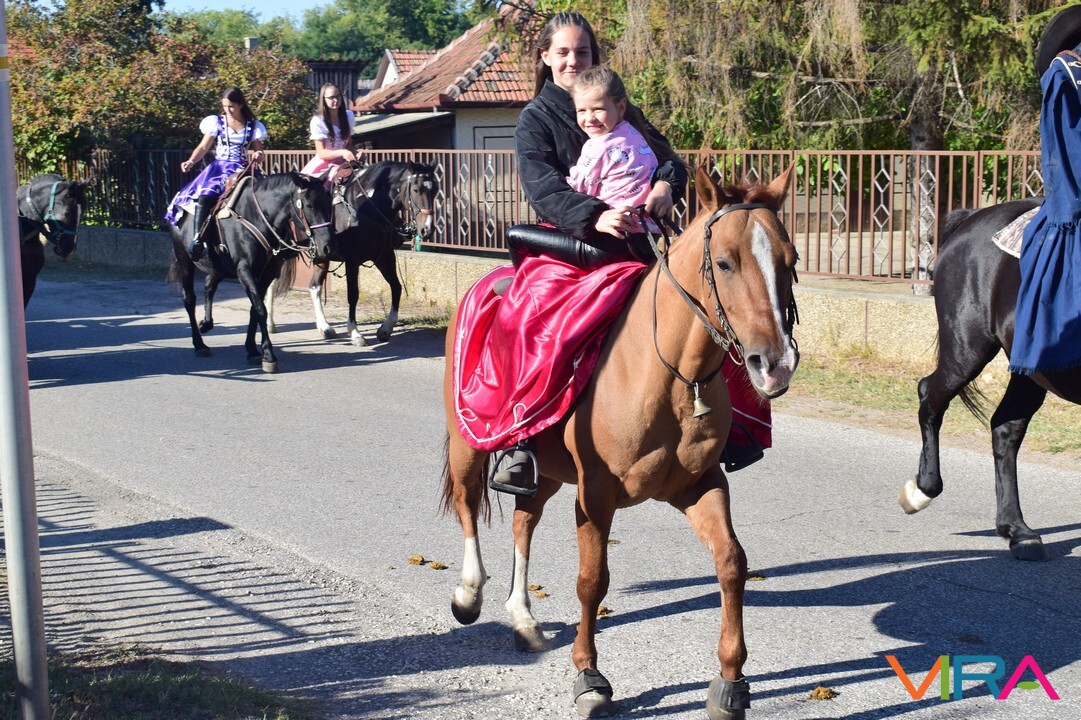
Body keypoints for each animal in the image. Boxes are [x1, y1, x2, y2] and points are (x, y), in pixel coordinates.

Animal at [166, 171, 334, 373]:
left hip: (218, 267)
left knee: (208, 286)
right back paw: (199, 344)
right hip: (185, 260)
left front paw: (252, 349)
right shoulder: (245, 270)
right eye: (309, 205)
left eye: (329, 203)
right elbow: (260, 309)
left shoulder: (268, 272)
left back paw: (206, 323)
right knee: (189, 299)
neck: (258, 217)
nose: (327, 247)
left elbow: (255, 309)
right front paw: (268, 355)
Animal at [292, 160, 436, 346]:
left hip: (322, 254)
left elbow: (396, 287)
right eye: (416, 190)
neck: (366, 210)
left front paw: (386, 328)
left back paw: (324, 327)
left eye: (435, 190)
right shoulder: (352, 260)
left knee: (314, 286)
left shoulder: (384, 257)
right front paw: (355, 333)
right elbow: (353, 294)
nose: (427, 229)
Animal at [440, 166, 799, 719]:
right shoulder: (596, 495)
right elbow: (593, 581)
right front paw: (589, 675)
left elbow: (731, 563)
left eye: (791, 261)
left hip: (545, 473)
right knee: (466, 505)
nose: (775, 364)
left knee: (524, 522)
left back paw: (523, 617)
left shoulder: (701, 485)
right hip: (469, 443)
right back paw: (469, 594)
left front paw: (730, 680)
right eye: (724, 262)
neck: (671, 376)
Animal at [899, 196, 1081, 562]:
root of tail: (973, 218)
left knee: (1005, 427)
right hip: (967, 348)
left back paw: (1018, 530)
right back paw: (924, 488)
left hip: (1030, 371)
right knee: (930, 396)